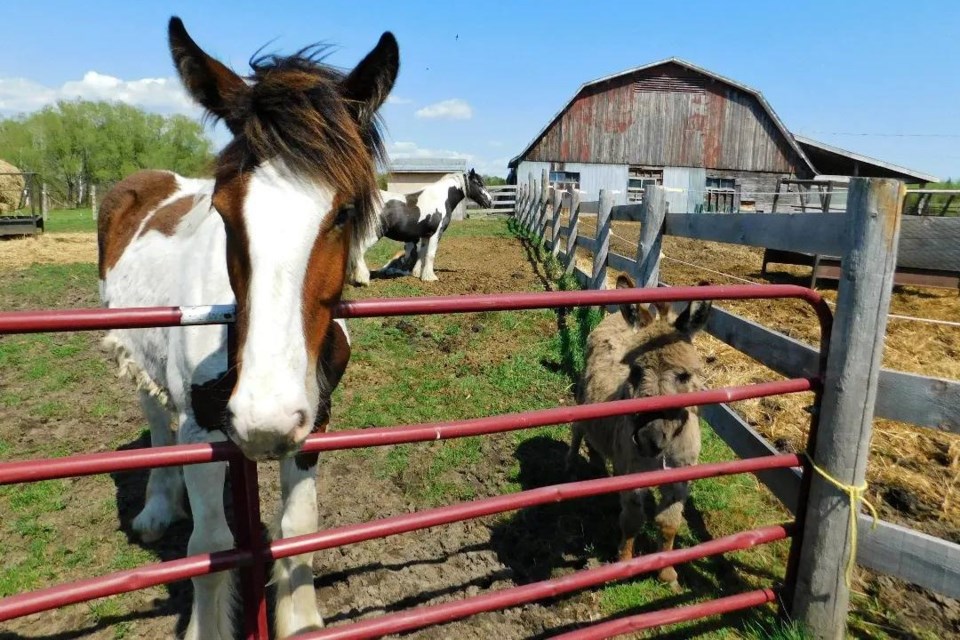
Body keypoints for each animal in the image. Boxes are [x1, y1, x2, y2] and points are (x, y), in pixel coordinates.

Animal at [95, 17, 396, 636]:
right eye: (223, 209)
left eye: (344, 212)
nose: (264, 418)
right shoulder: (202, 427)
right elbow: (211, 545)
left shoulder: (313, 419)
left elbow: (299, 531)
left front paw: (300, 621)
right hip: (141, 367)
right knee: (157, 425)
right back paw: (158, 508)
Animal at [346, 169, 496, 284]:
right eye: (478, 183)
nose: (490, 202)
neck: (441, 198)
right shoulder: (436, 233)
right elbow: (430, 254)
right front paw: (430, 277)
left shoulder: (425, 235)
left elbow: (422, 254)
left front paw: (418, 273)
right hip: (373, 234)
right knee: (358, 250)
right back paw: (362, 279)